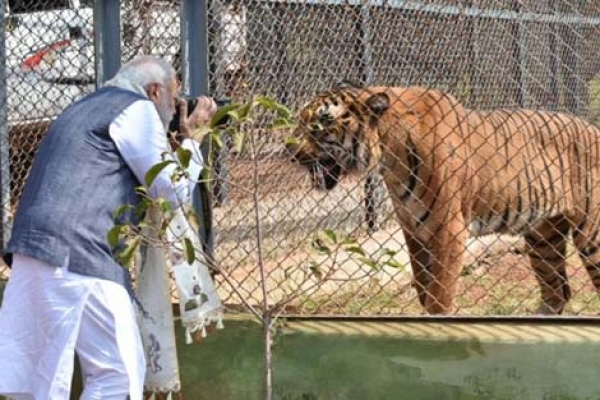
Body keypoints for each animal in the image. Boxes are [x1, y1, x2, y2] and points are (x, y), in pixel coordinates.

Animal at [286, 83, 600, 316]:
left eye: (320, 124)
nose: (290, 151)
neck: (389, 158)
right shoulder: (414, 230)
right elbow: (423, 287)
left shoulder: (448, 231)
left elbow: (439, 296)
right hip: (542, 237)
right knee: (557, 292)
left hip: (591, 235)